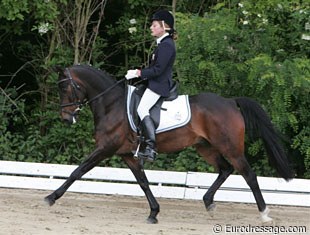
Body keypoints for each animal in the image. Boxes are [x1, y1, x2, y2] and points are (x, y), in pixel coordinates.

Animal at [44, 64, 294, 224]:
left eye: (64, 88)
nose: (65, 118)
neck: (111, 104)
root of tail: (231, 102)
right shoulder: (128, 155)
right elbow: (143, 182)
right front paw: (154, 213)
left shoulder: (105, 149)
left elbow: (78, 171)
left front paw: (51, 198)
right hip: (205, 147)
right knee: (225, 169)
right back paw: (208, 202)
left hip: (230, 147)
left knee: (248, 175)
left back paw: (264, 214)